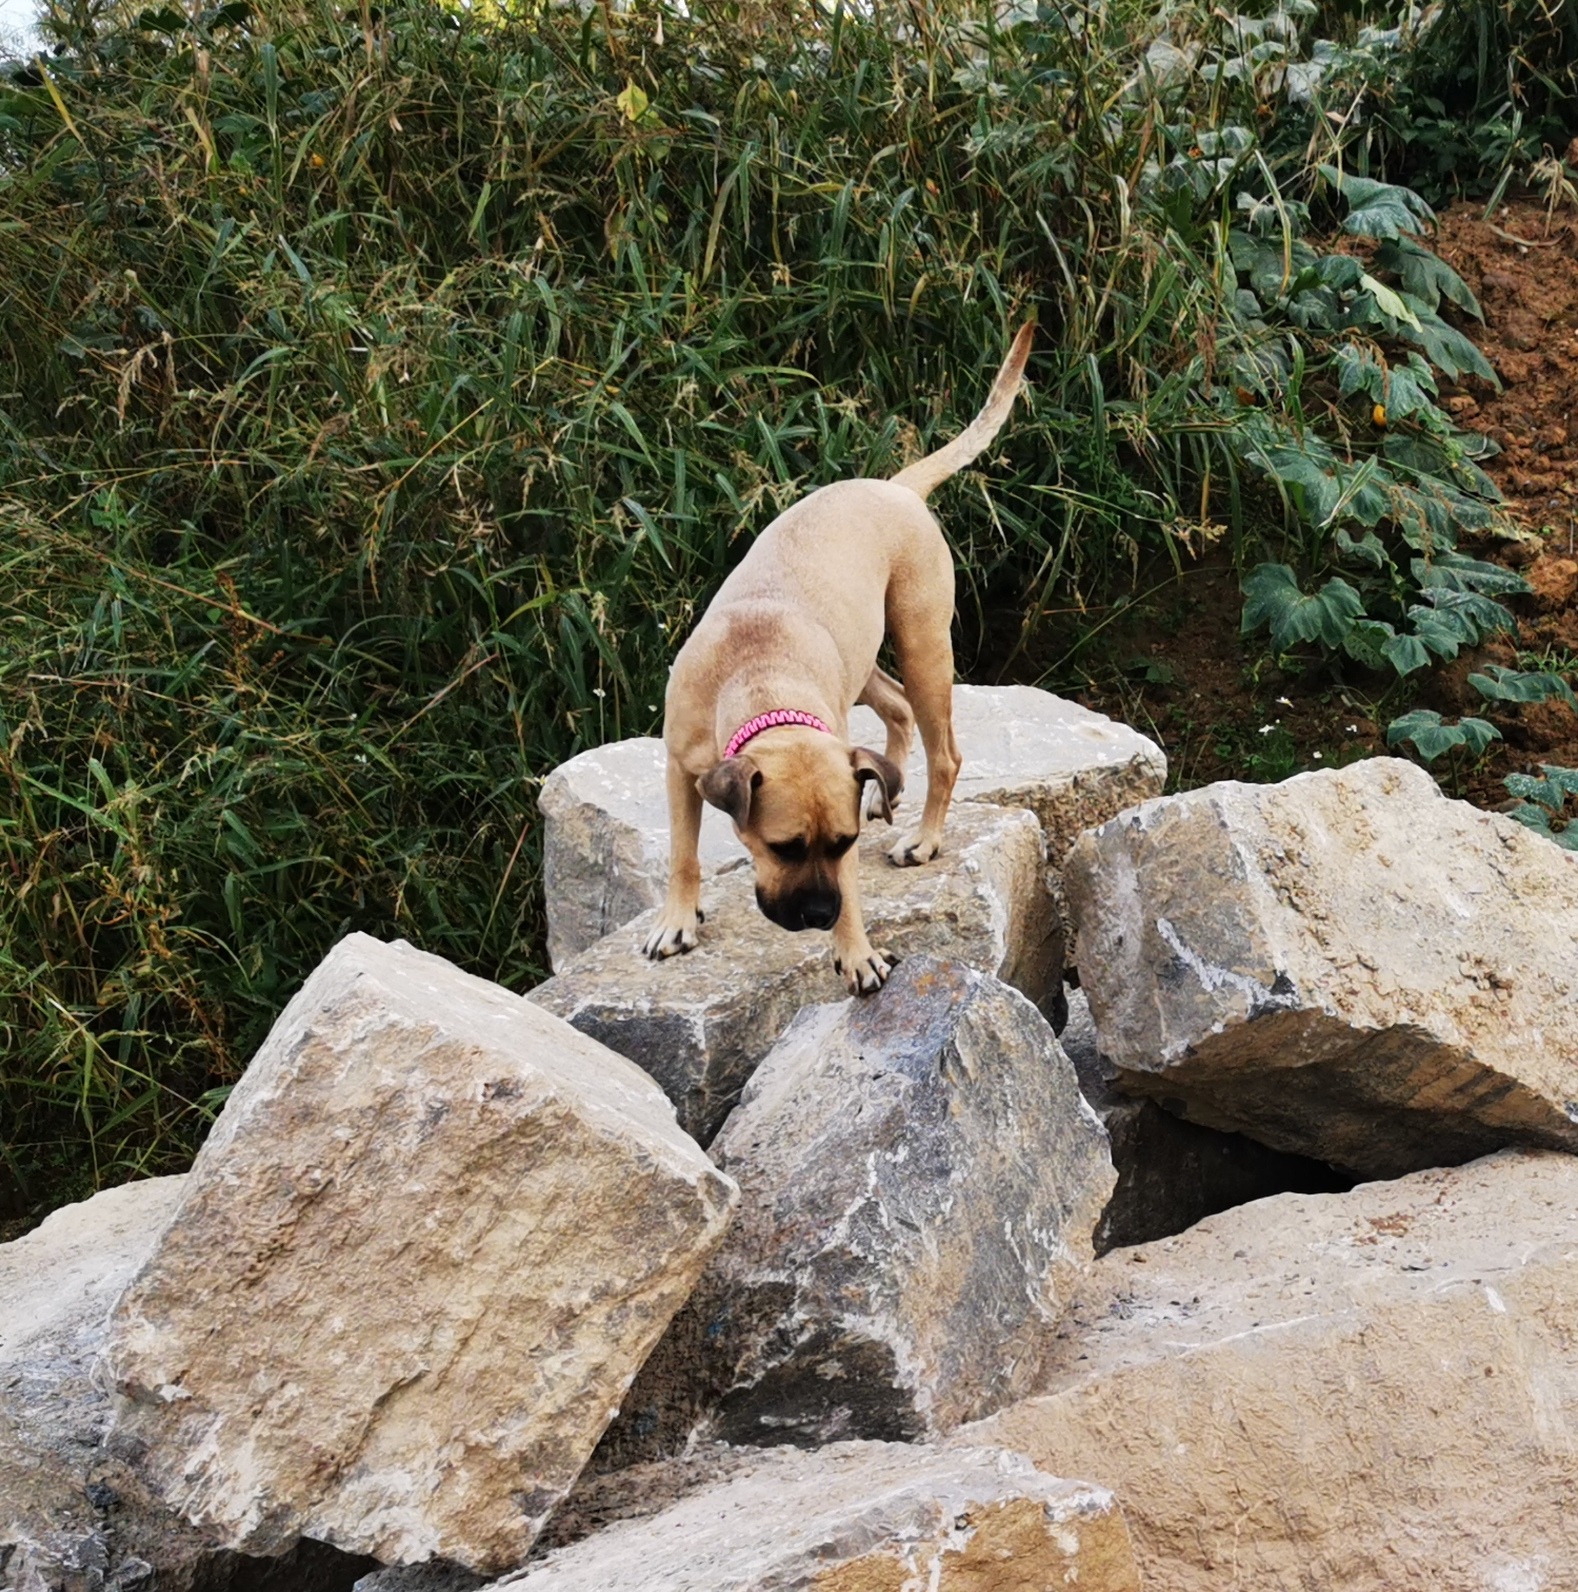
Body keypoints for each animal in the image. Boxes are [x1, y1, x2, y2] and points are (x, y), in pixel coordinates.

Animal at [643, 324, 1038, 993]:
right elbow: (682, 853)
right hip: (866, 657)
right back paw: (887, 789)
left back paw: (923, 839)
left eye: (844, 843)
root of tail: (896, 488)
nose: (820, 914)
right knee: (898, 710)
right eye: (783, 847)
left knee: (945, 753)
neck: (757, 681)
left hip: (922, 644)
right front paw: (677, 919)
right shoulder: (678, 770)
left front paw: (856, 950)